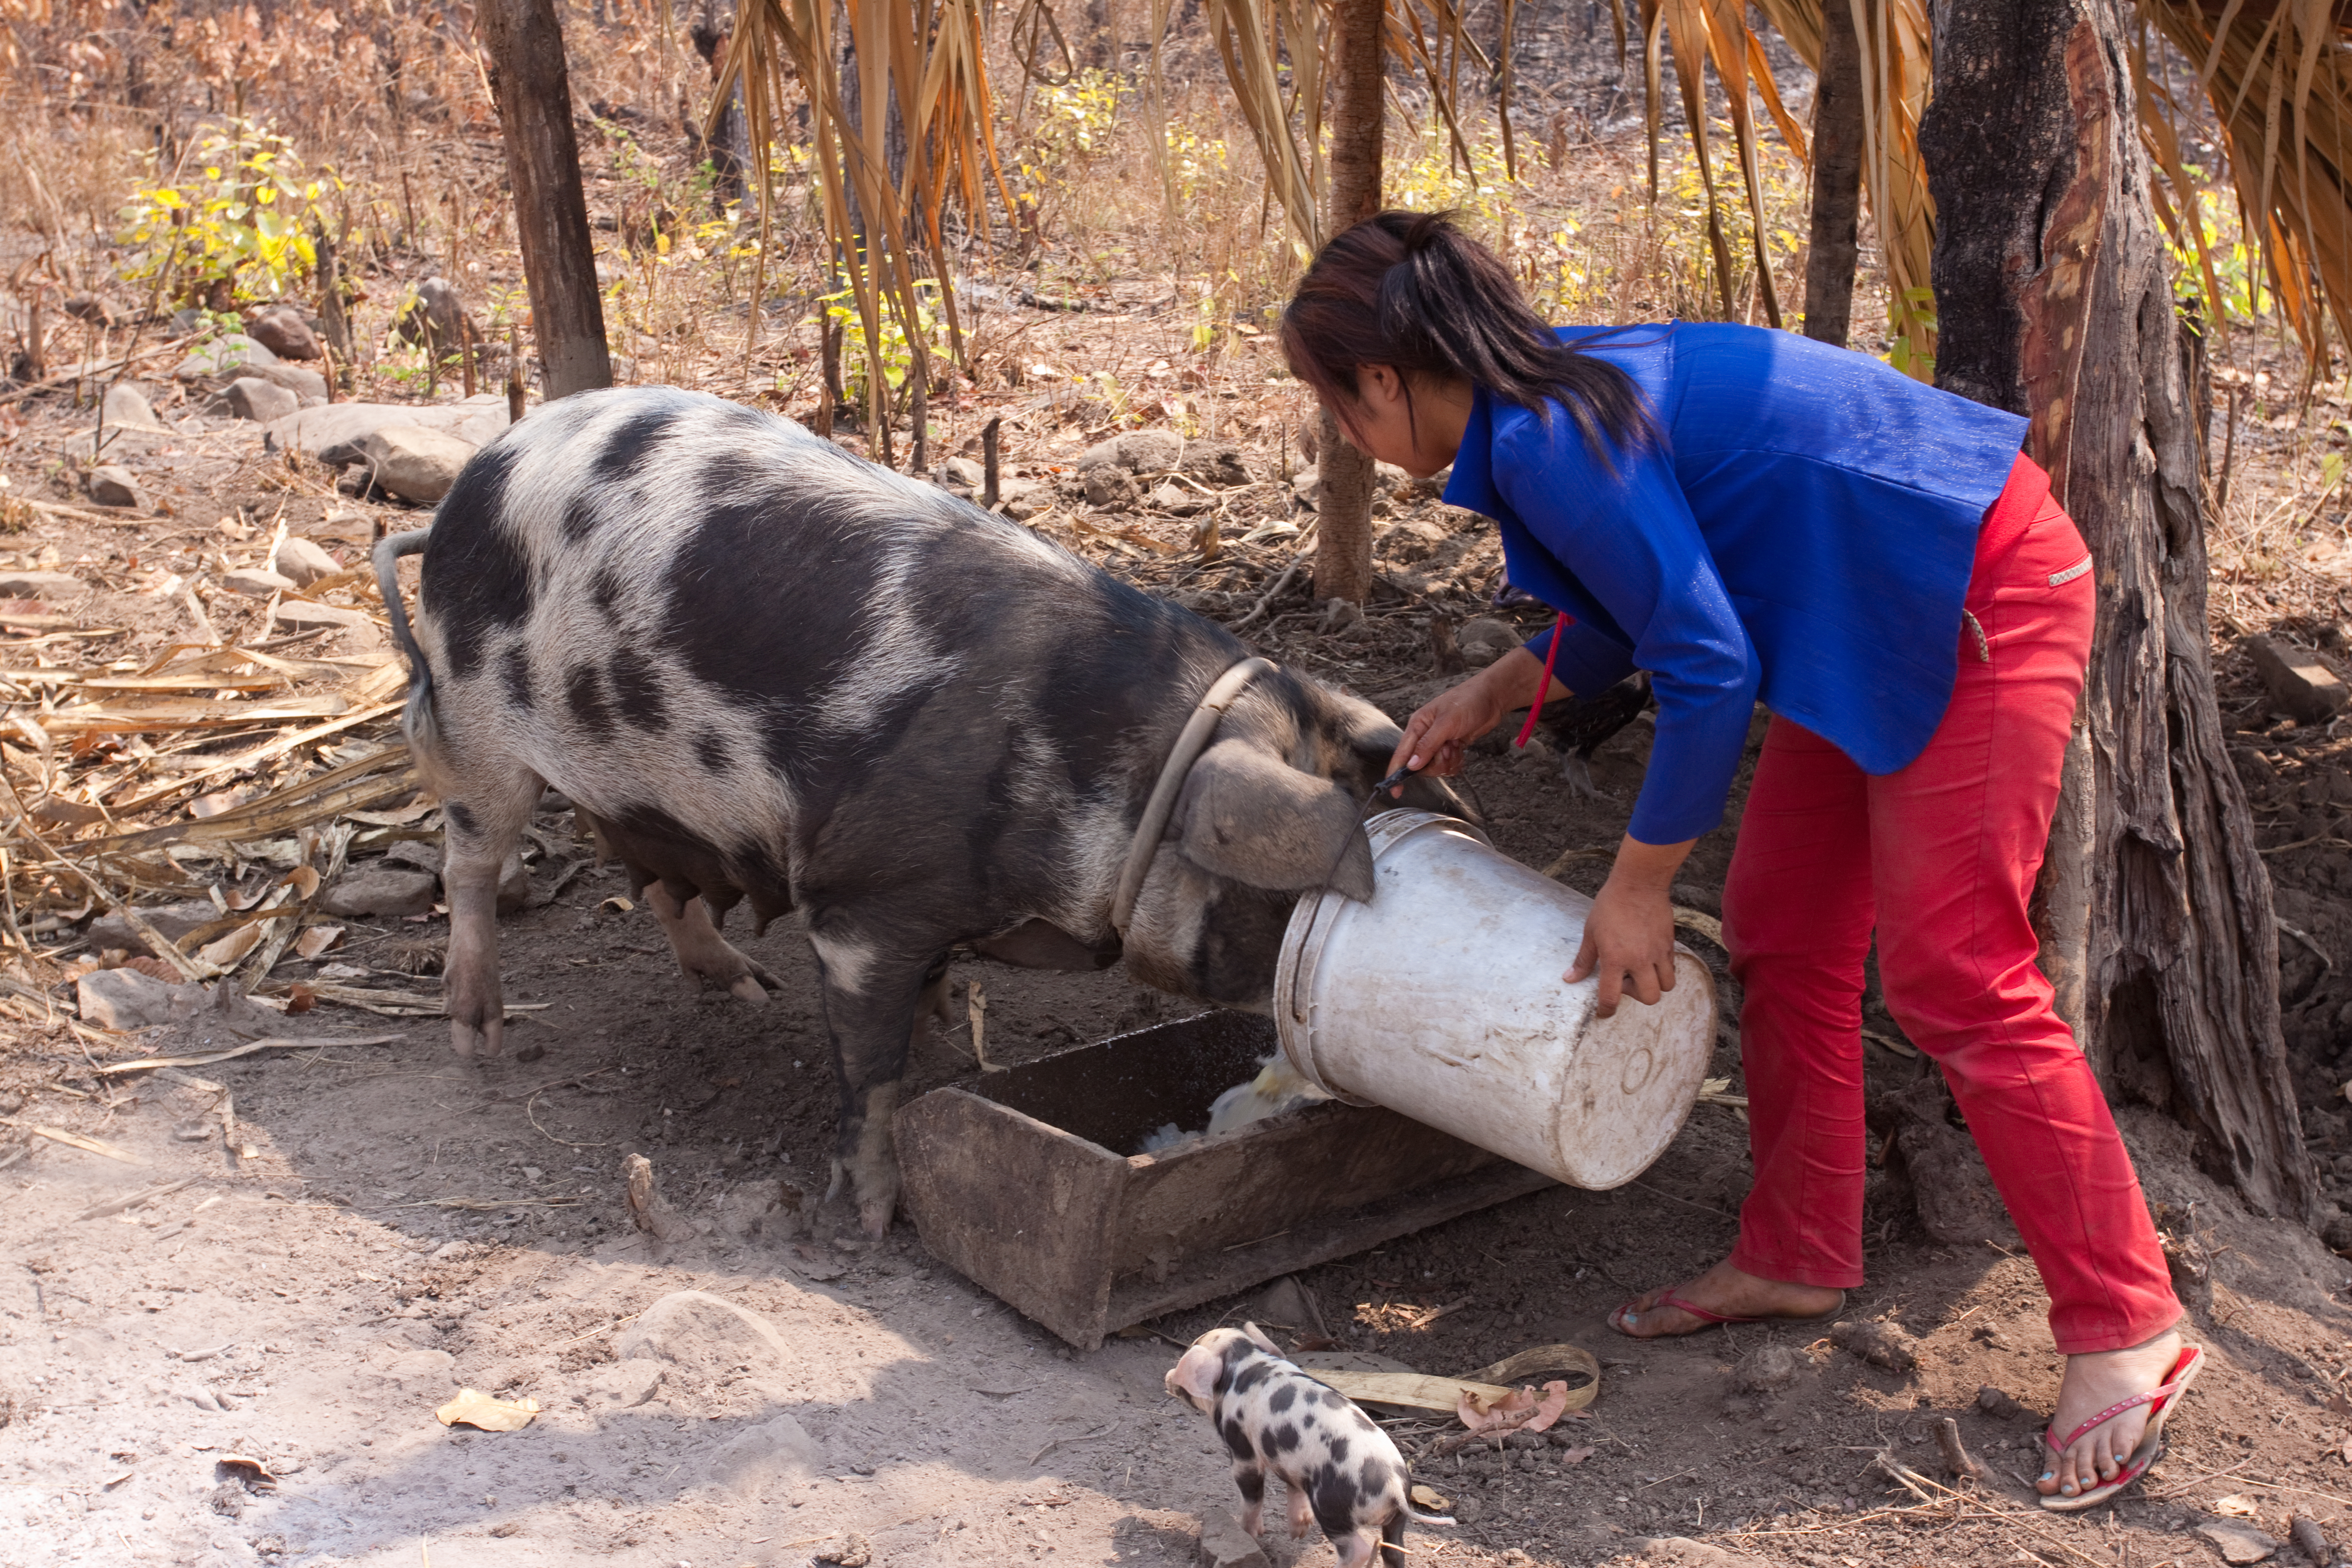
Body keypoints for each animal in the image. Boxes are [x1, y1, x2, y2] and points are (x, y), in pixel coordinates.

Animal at [373, 385, 1466, 1234]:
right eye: (1279, 901)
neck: (1119, 788)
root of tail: (469, 483)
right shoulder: (863, 900)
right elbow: (872, 1068)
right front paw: (871, 1215)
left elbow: (927, 1000)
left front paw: (946, 1031)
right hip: (473, 724)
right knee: (470, 863)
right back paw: (478, 1036)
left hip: (636, 786)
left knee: (657, 876)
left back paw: (743, 987)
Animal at [1165, 1324, 1452, 1565]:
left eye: (1190, 1350)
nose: (1167, 1376)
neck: (1244, 1361)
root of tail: (1393, 1488)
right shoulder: (1290, 1463)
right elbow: (1294, 1489)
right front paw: (1297, 1535)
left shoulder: (1242, 1447)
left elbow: (1251, 1493)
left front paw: (1248, 1533)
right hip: (1397, 1518)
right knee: (1394, 1550)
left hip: (1332, 1508)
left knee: (1357, 1550)